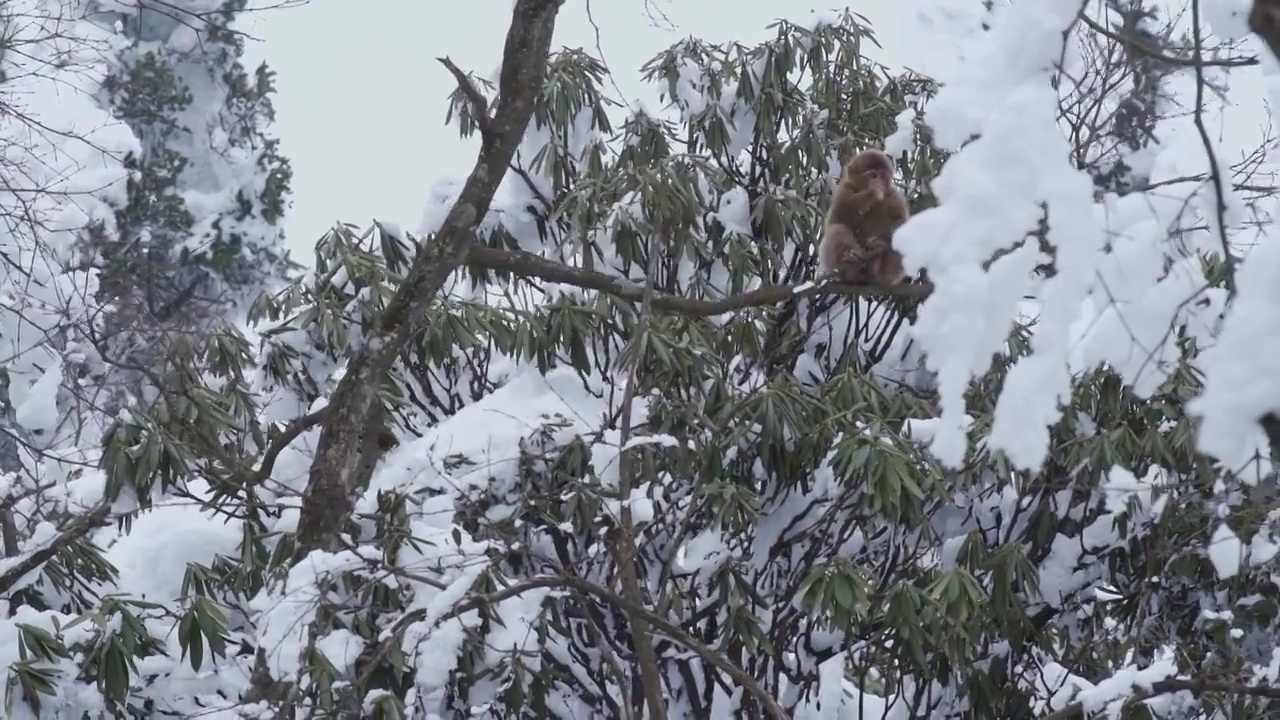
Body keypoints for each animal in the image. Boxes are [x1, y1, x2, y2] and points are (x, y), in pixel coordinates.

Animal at [819, 147, 911, 284]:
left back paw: (876, 268)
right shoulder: (844, 189)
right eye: (873, 175)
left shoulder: (894, 195)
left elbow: (901, 222)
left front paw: (881, 243)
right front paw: (872, 193)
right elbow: (837, 218)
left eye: (882, 176)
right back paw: (850, 264)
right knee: (837, 229)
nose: (878, 183)